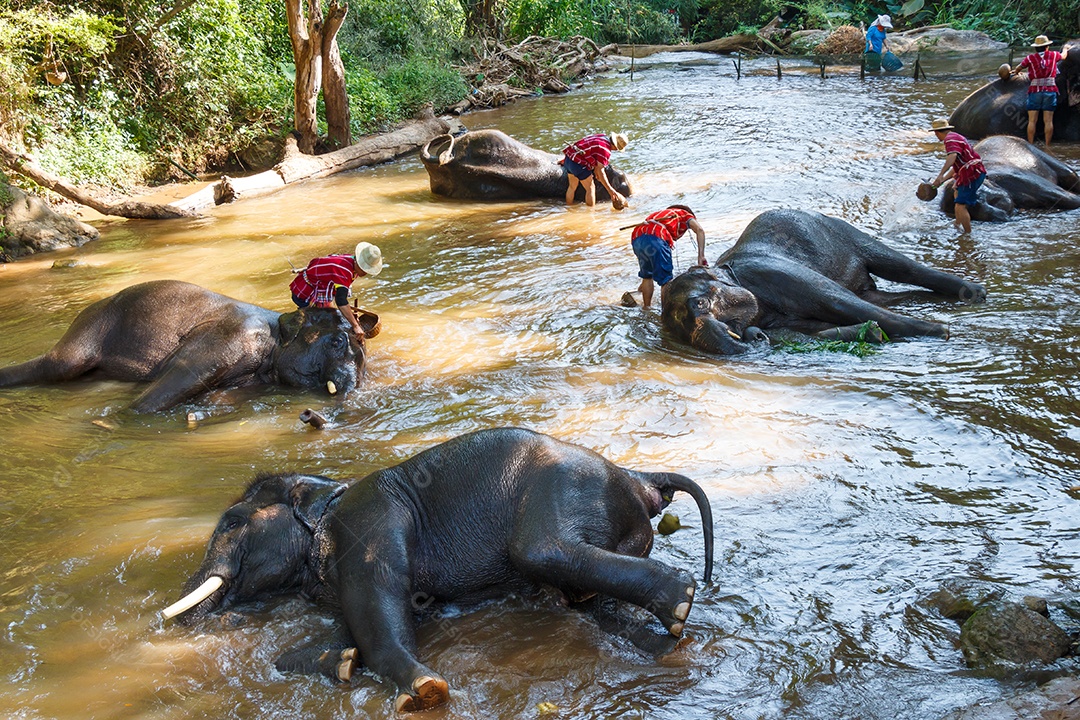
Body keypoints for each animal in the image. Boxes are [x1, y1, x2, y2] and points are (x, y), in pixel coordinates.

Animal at [0, 280, 377, 412]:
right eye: (337, 341)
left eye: (363, 355)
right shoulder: (227, 337)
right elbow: (170, 384)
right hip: (91, 325)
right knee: (61, 364)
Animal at [162, 427, 714, 712]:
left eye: (232, 522)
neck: (327, 492)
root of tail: (639, 479)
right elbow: (368, 620)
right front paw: (338, 661)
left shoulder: (367, 519)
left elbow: (379, 605)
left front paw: (425, 692)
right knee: (583, 601)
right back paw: (665, 636)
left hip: (560, 489)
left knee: (542, 550)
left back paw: (682, 599)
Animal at [660, 209, 986, 355]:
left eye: (701, 303)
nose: (752, 335)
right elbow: (809, 333)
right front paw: (873, 332)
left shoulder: (770, 271)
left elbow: (838, 302)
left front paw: (941, 332)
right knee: (882, 296)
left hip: (839, 230)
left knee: (896, 266)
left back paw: (974, 294)